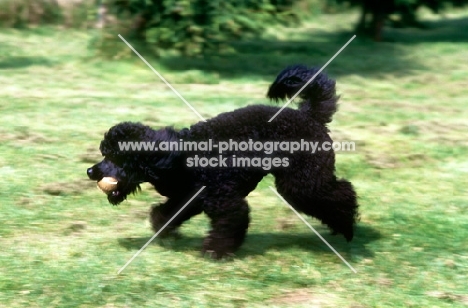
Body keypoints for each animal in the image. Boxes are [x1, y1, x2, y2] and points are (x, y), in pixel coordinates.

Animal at [87, 64, 358, 258]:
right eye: (104, 153)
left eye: (115, 156)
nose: (91, 171)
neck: (181, 157)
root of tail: (309, 115)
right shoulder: (190, 196)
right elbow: (169, 213)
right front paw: (162, 228)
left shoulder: (225, 198)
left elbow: (231, 222)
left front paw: (215, 251)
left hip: (303, 181)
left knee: (341, 193)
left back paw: (347, 227)